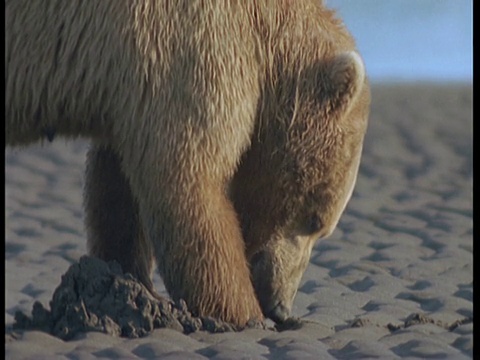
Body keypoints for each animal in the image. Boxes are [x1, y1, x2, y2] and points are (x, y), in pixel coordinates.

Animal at [5, 0, 370, 326]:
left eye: (321, 228)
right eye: (314, 221)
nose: (281, 308)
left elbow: (117, 187)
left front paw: (123, 283)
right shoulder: (189, 44)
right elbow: (188, 179)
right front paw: (240, 313)